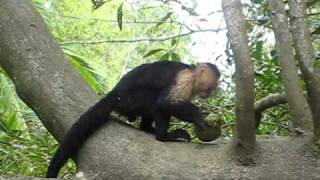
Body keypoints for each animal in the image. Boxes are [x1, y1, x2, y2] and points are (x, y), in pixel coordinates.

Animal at [47, 60, 220, 177]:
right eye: (210, 87)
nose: (210, 93)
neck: (193, 76)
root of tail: (116, 93)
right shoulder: (185, 80)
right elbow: (166, 102)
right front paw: (199, 118)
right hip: (130, 100)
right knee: (155, 101)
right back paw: (163, 136)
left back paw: (147, 128)